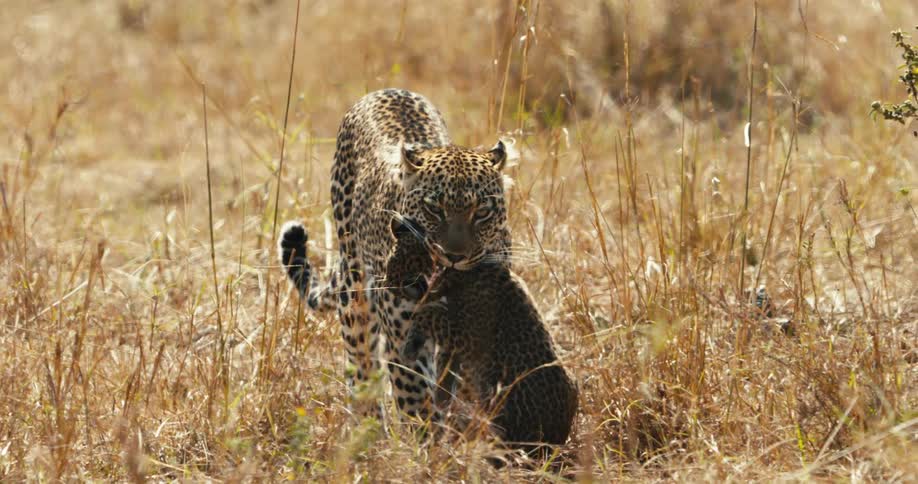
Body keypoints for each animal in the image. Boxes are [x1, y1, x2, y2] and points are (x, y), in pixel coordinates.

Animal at [279, 88, 512, 419]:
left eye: (482, 212)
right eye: (434, 209)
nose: (454, 255)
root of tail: (386, 90)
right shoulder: (405, 338)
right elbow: (417, 404)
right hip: (356, 294)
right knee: (361, 368)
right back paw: (369, 424)